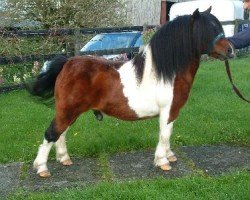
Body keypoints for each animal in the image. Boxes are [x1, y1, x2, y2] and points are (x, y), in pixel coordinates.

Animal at [29, 7, 234, 177]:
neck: (168, 72)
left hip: (71, 111)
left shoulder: (173, 112)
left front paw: (170, 155)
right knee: (52, 133)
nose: (230, 50)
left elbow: (168, 133)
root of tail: (67, 63)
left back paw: (64, 159)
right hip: (68, 110)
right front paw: (163, 161)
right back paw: (42, 168)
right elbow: (164, 134)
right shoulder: (167, 111)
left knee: (61, 133)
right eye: (208, 30)